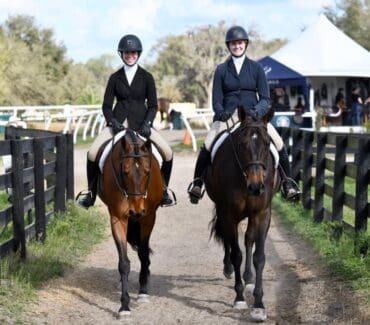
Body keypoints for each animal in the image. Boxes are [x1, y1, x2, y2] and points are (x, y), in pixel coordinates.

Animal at [97, 128, 163, 316]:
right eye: (125, 172)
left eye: (147, 171)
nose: (136, 211)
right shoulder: (118, 219)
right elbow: (124, 262)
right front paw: (124, 305)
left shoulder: (148, 217)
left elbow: (143, 253)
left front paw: (143, 291)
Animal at [204, 107, 278, 320]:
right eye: (242, 144)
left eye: (267, 143)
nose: (256, 186)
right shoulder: (229, 215)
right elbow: (236, 254)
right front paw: (239, 298)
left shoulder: (262, 214)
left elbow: (259, 256)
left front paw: (259, 305)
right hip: (223, 212)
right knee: (229, 241)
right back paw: (228, 269)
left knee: (248, 239)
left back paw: (249, 278)